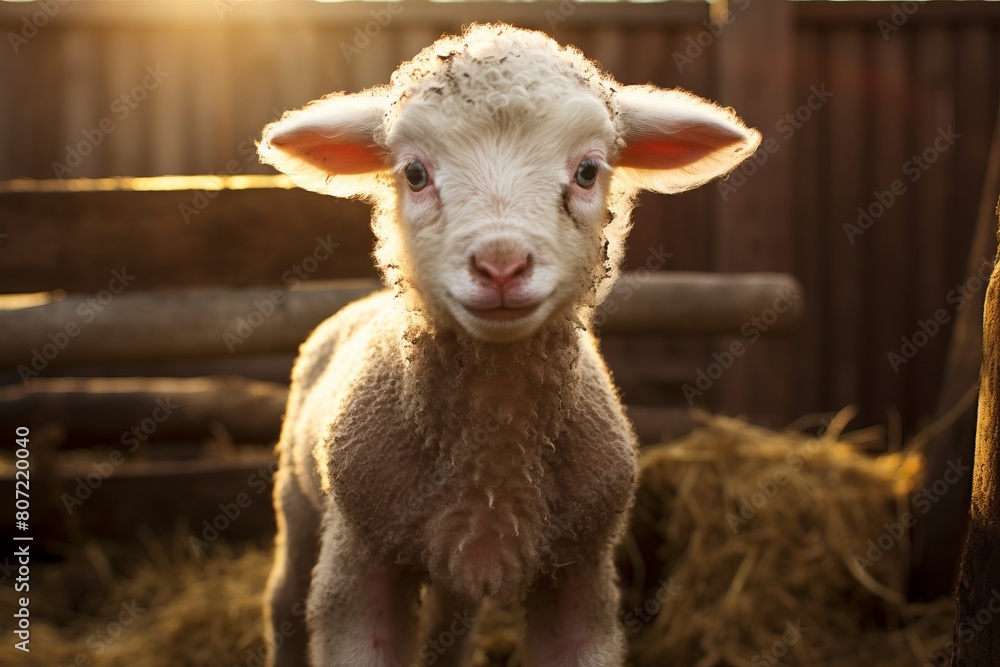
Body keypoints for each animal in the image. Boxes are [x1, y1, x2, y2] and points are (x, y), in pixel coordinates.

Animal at [257, 23, 760, 667]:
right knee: (284, 602)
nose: (501, 265)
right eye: (414, 174)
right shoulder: (360, 565)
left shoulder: (580, 574)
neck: (493, 450)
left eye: (589, 171)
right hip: (298, 508)